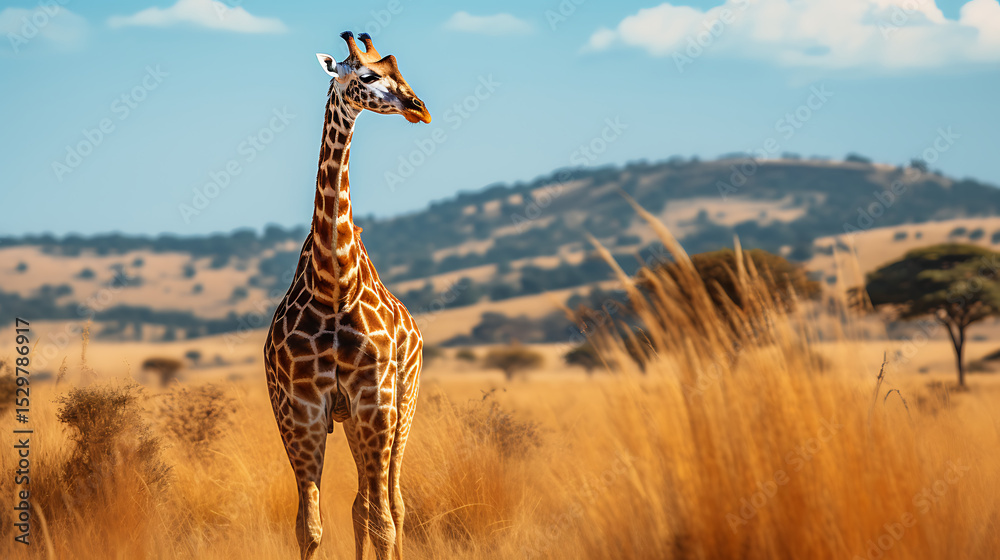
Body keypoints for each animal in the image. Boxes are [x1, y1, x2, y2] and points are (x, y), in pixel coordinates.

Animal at [264, 31, 431, 560]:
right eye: (369, 75)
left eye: (400, 70)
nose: (420, 108)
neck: (333, 283)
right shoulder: (302, 411)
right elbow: (310, 526)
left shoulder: (374, 401)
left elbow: (383, 522)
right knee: (363, 503)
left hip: (402, 406)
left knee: (392, 504)